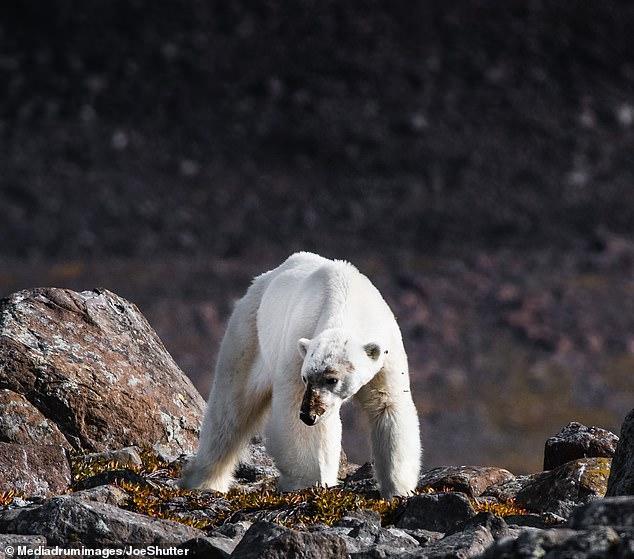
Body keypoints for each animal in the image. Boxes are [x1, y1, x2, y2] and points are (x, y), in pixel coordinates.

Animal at [180, 252, 422, 496]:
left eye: (332, 379)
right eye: (306, 377)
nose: (308, 415)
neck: (347, 296)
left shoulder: (386, 352)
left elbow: (388, 405)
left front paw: (399, 489)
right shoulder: (298, 342)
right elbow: (294, 411)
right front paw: (307, 483)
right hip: (249, 333)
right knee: (231, 406)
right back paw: (204, 481)